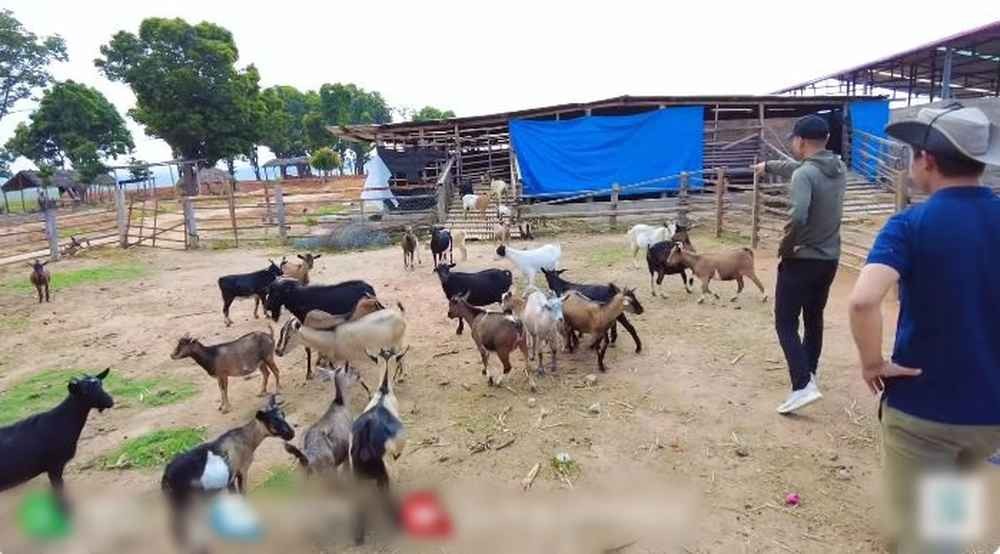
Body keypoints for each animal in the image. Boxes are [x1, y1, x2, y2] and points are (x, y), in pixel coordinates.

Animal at [0, 366, 113, 508]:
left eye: (100, 384)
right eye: (85, 392)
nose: (110, 401)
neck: (59, 422)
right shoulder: (55, 465)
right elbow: (59, 490)